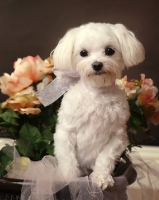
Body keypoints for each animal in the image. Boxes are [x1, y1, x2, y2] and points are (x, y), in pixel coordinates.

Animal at [52, 22, 145, 190]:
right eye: (83, 53)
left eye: (109, 51)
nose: (97, 64)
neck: (97, 92)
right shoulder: (65, 132)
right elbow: (68, 160)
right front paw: (69, 180)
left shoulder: (118, 137)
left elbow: (105, 158)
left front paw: (101, 177)